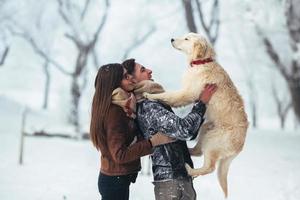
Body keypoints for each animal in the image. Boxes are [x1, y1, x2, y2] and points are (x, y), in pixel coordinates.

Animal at [144, 32, 248, 197]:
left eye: (187, 39)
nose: (172, 39)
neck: (201, 62)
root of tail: (241, 145)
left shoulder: (187, 93)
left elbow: (169, 95)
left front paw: (150, 95)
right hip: (206, 128)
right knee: (198, 151)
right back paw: (189, 151)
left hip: (213, 141)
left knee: (209, 168)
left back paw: (190, 170)